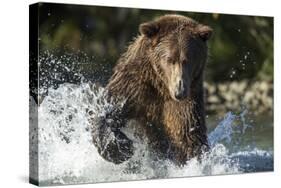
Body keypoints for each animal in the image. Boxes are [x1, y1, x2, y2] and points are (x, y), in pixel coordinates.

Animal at [90, 13, 212, 165]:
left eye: (187, 60)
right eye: (170, 59)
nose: (179, 91)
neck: (161, 85)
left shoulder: (187, 101)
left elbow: (187, 137)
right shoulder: (135, 85)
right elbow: (110, 108)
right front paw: (123, 147)